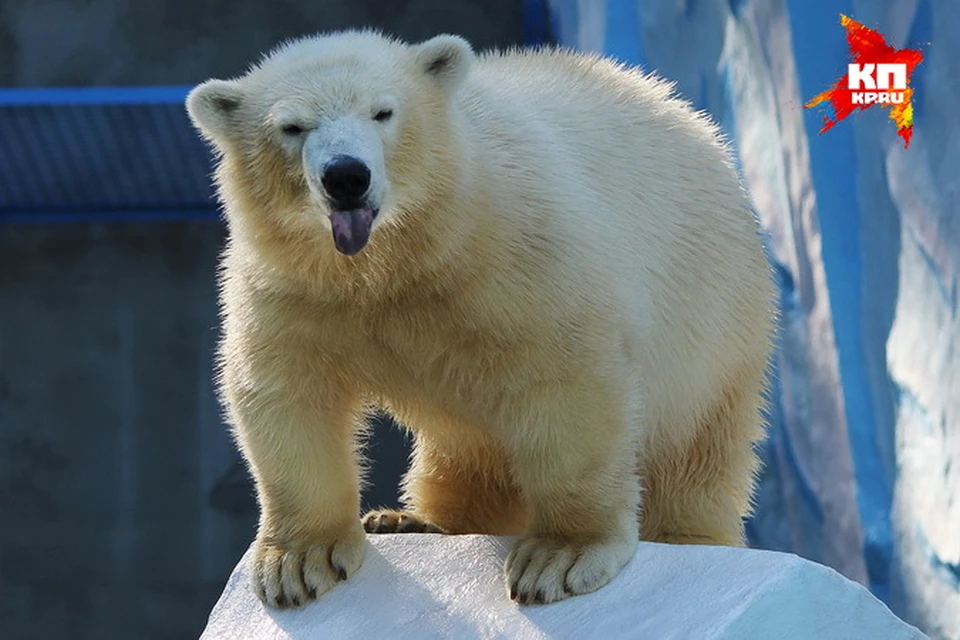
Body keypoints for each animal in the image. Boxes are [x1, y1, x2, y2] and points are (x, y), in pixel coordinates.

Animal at [184, 30, 776, 608]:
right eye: (291, 126)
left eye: (383, 112)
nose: (346, 176)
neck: (395, 258)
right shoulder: (293, 287)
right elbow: (286, 391)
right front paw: (299, 562)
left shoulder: (515, 250)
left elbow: (565, 379)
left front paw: (560, 557)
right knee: (463, 449)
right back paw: (408, 521)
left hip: (711, 322)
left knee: (694, 448)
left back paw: (685, 535)